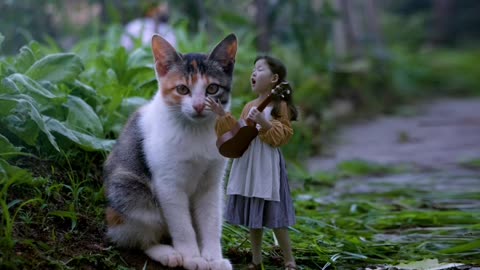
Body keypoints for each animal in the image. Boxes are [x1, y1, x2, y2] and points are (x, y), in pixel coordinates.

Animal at [103, 33, 236, 270]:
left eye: (212, 88)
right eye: (182, 89)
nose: (199, 106)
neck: (195, 130)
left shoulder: (212, 184)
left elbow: (211, 220)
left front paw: (213, 258)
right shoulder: (168, 185)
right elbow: (182, 226)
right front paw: (193, 257)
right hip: (129, 191)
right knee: (135, 237)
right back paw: (167, 253)